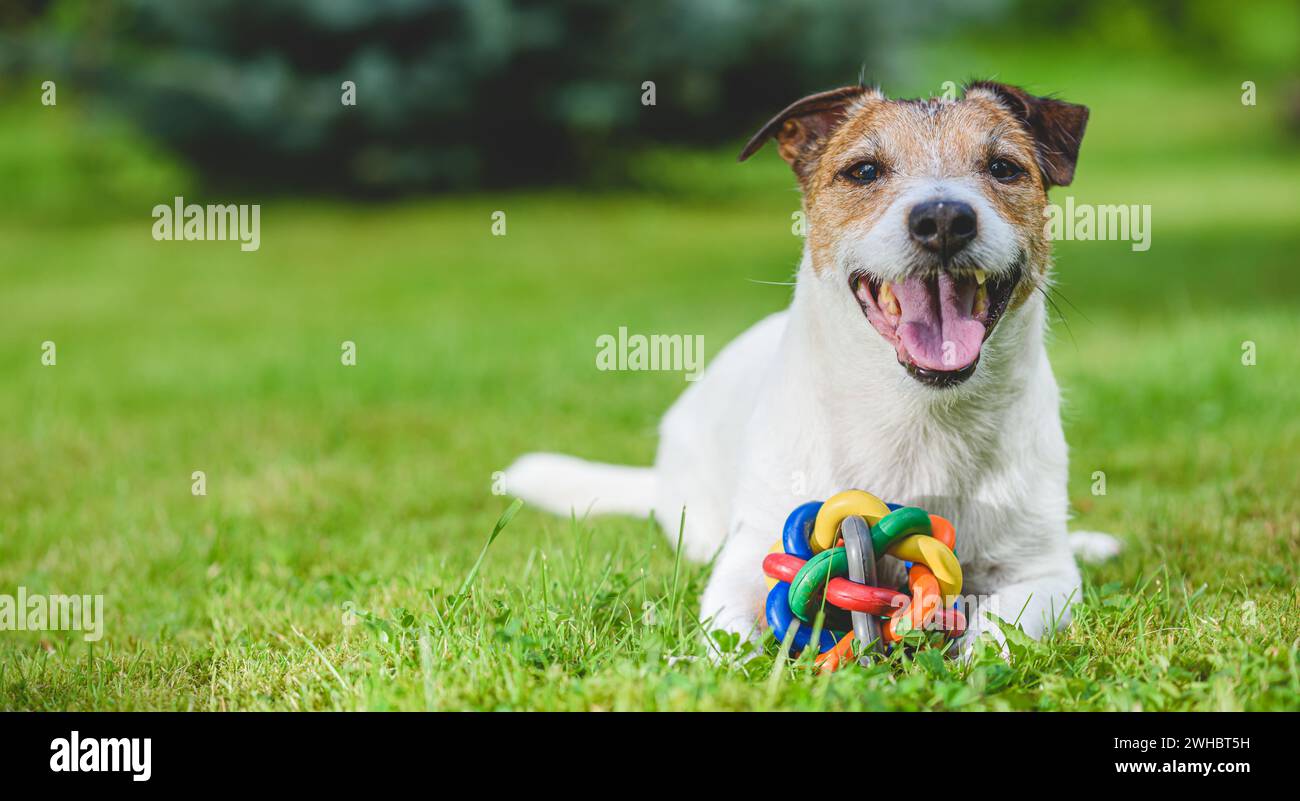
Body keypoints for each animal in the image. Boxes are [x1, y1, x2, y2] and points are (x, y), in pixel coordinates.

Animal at [501, 81, 1123, 650]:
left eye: (1003, 167)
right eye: (864, 170)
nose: (944, 218)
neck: (918, 414)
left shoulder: (1044, 575)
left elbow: (998, 630)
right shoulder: (746, 562)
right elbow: (728, 641)